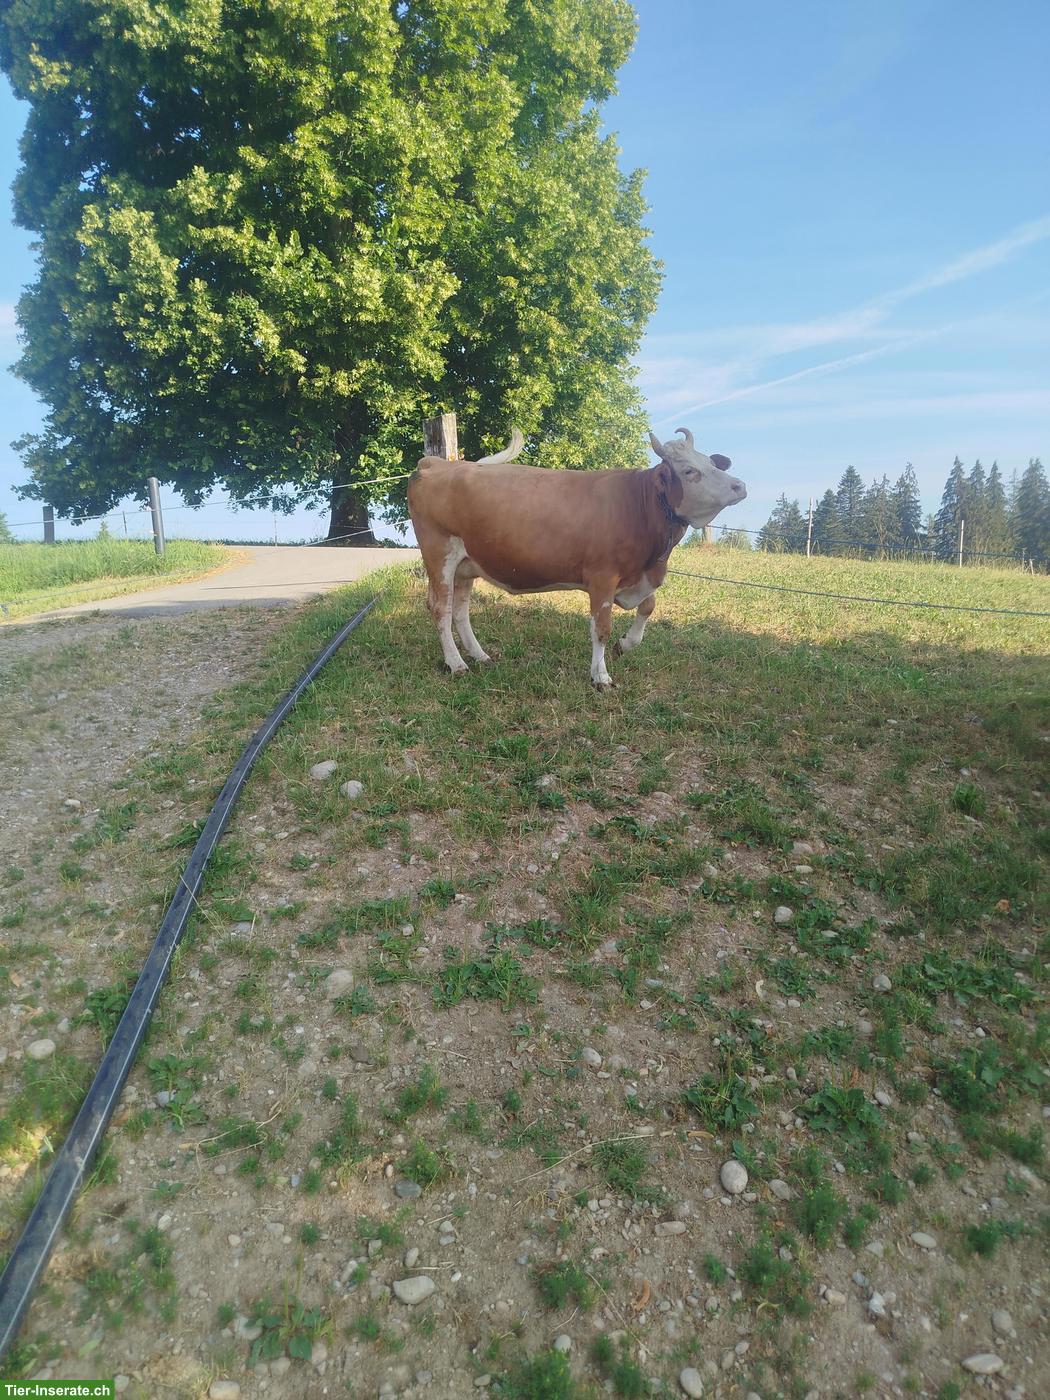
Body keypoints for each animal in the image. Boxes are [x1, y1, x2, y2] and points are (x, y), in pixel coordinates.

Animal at [407, 427, 746, 686]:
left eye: (712, 463)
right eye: (690, 471)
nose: (740, 486)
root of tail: (438, 463)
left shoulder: (639, 576)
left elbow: (648, 606)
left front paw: (626, 644)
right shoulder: (602, 576)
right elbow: (601, 628)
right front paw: (601, 676)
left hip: (467, 564)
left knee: (460, 611)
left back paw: (479, 656)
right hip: (439, 554)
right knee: (441, 608)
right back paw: (456, 664)